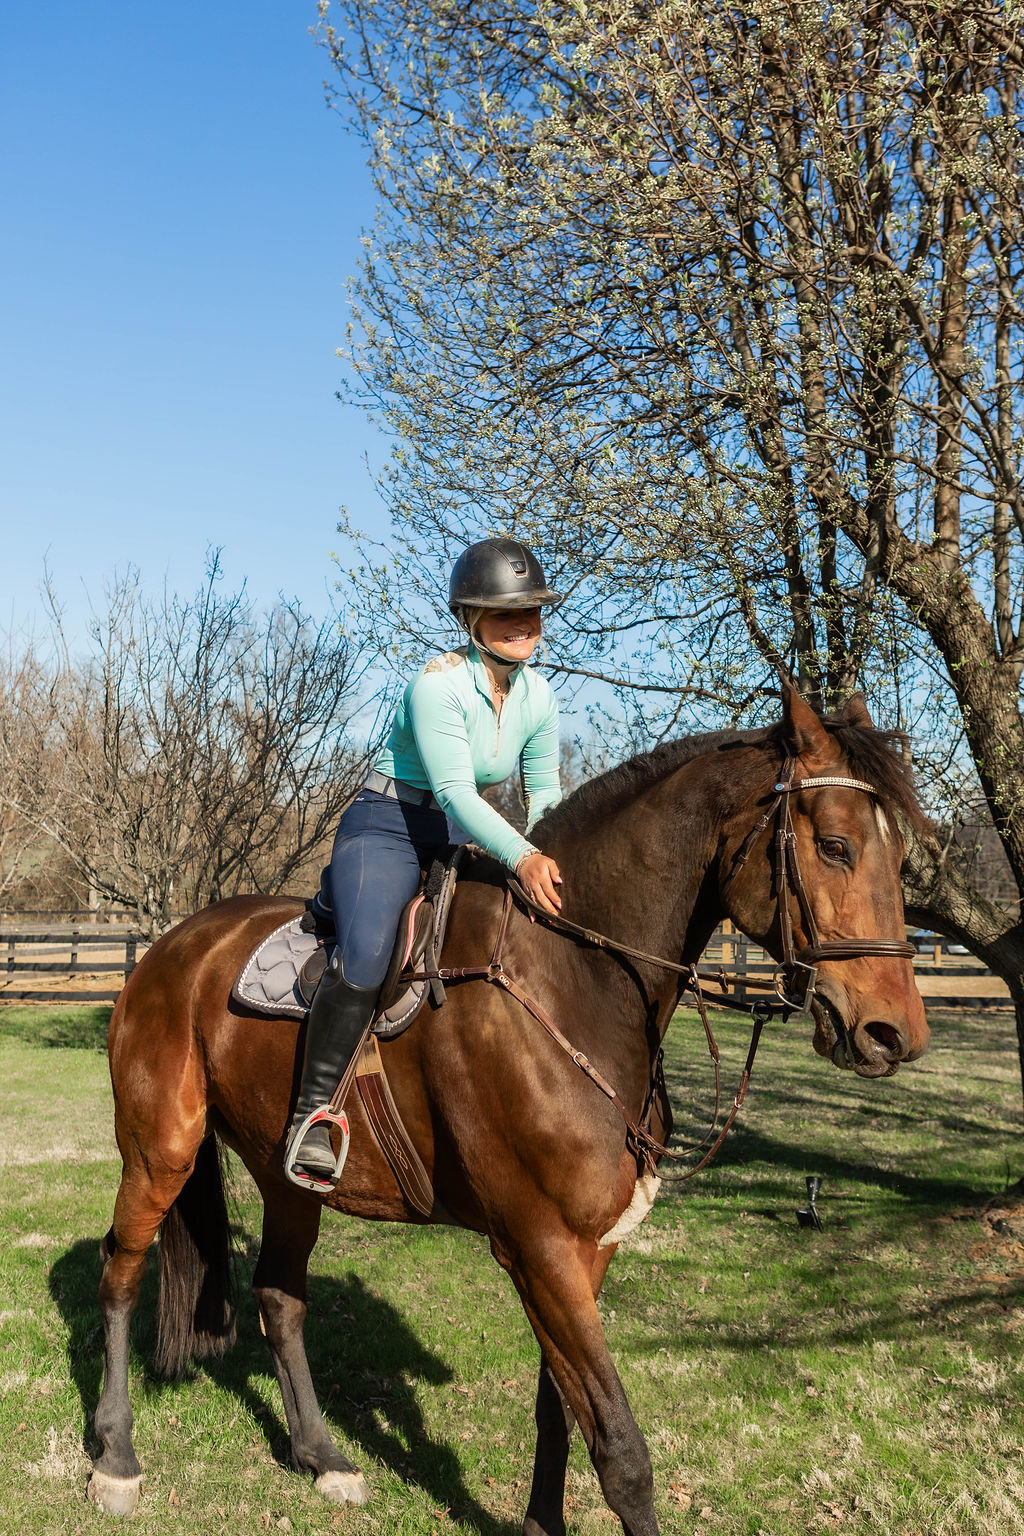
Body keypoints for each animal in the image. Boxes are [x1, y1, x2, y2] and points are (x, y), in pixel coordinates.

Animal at [86, 688, 929, 1536]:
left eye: (902, 858)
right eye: (834, 845)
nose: (894, 1035)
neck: (570, 977)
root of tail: (171, 947)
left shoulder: (587, 1251)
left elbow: (562, 1407)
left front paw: (540, 1521)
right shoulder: (539, 1246)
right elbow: (623, 1451)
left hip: (287, 1177)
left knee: (279, 1299)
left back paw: (323, 1458)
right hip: (159, 1152)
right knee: (121, 1274)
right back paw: (116, 1458)